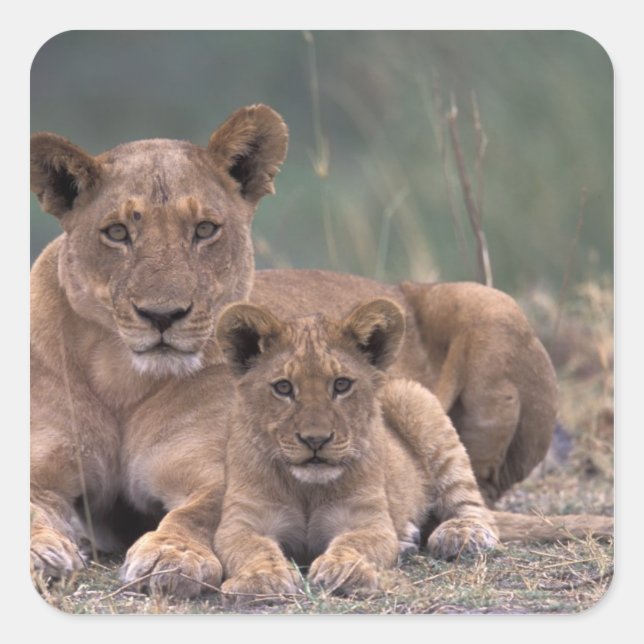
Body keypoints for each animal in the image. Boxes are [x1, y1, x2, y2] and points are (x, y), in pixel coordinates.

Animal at [214, 299, 500, 600]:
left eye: (341, 384)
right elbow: (252, 549)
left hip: (412, 398)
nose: (315, 440)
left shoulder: (366, 518)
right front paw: (261, 578)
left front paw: (343, 570)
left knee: (474, 506)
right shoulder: (242, 521)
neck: (306, 491)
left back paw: (462, 534)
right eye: (283, 387)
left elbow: (355, 543)